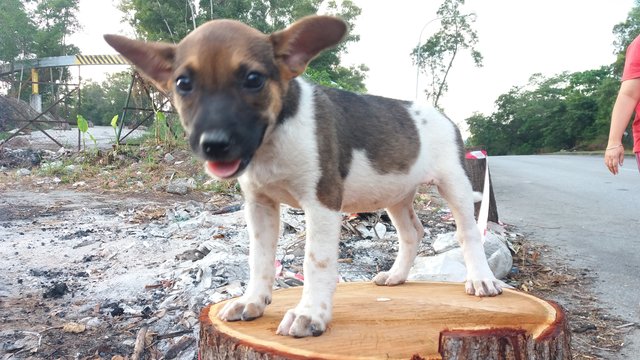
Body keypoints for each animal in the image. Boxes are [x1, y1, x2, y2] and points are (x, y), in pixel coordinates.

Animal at [105, 15, 502, 338]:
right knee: (412, 233)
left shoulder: (322, 204)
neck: (274, 138)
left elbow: (316, 262)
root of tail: (444, 116)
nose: (214, 145)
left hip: (455, 185)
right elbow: (259, 257)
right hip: (396, 193)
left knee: (468, 233)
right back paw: (396, 275)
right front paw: (253, 300)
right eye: (184, 83)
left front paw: (311, 315)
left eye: (253, 79)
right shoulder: (259, 206)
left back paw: (481, 279)